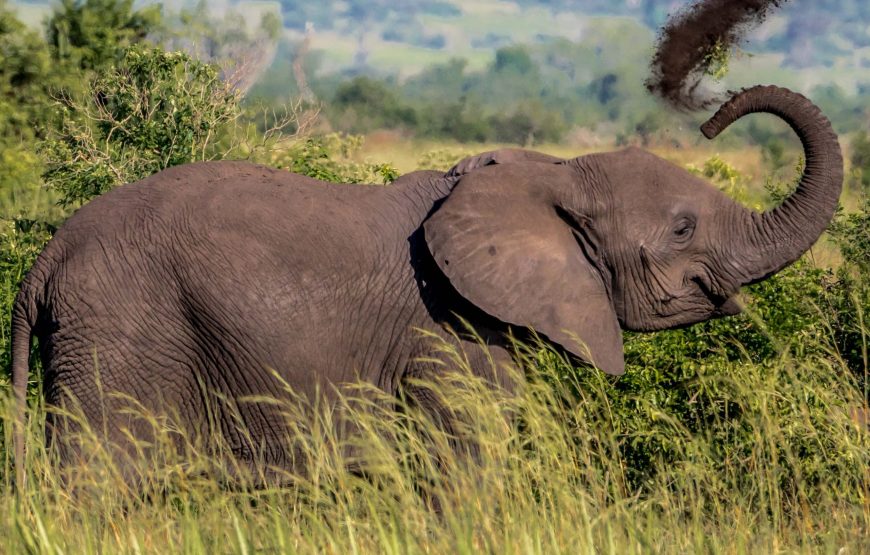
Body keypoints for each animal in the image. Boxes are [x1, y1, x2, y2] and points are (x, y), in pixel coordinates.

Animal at [10, 86, 844, 482]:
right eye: (681, 228)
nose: (710, 117)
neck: (551, 172)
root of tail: (45, 260)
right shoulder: (451, 334)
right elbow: (464, 467)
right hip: (120, 332)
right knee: (98, 479)